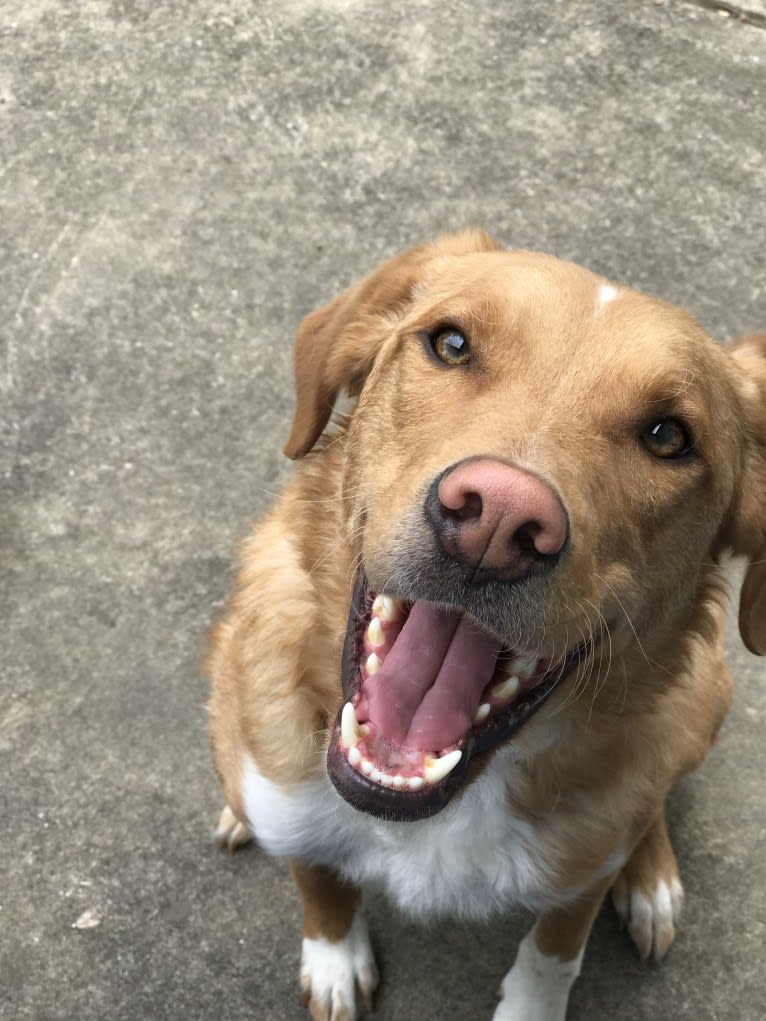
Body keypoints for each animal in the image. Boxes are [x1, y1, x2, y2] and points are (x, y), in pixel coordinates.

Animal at [205, 231, 766, 1021]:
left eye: (668, 436)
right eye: (451, 343)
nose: (499, 519)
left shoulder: (580, 874)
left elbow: (556, 947)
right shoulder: (289, 796)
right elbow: (317, 878)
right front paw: (334, 955)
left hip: (704, 699)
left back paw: (650, 876)